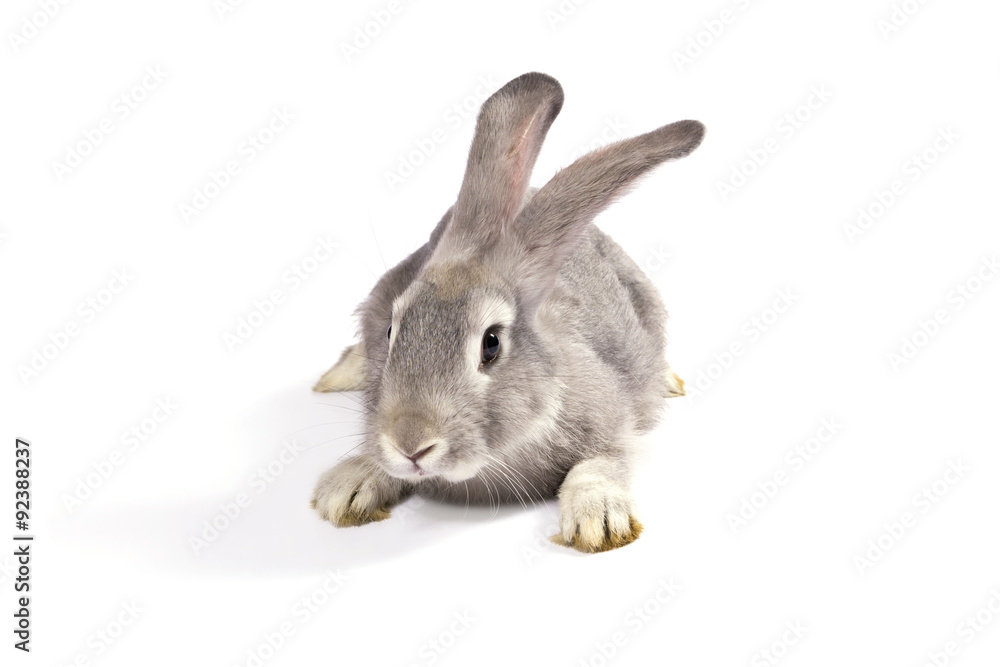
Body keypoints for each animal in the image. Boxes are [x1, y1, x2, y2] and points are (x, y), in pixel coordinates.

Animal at [310, 72, 703, 553]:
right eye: (390, 332)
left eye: (491, 344)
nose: (411, 444)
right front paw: (347, 488)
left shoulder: (611, 422)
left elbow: (600, 465)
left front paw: (599, 522)